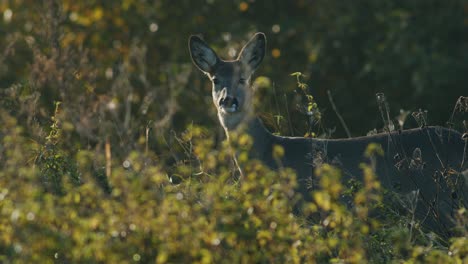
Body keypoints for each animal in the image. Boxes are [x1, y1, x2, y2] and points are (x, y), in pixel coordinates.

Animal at [189, 32, 468, 236]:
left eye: (243, 78)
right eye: (215, 79)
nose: (228, 101)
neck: (267, 153)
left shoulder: (304, 208)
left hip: (440, 204)